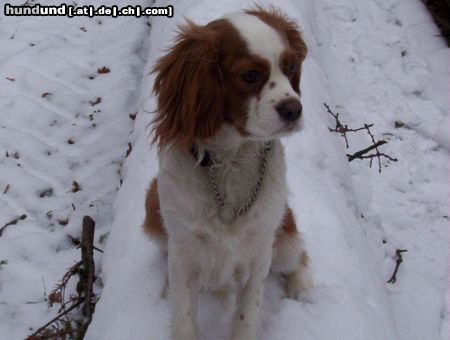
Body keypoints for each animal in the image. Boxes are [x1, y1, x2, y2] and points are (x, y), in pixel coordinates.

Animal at [144, 5, 312, 340]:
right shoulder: (182, 250)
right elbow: (183, 316)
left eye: (291, 67)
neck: (232, 159)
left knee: (298, 256)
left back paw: (300, 287)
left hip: (282, 239)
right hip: (153, 209)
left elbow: (248, 312)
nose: (294, 109)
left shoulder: (260, 248)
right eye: (250, 75)